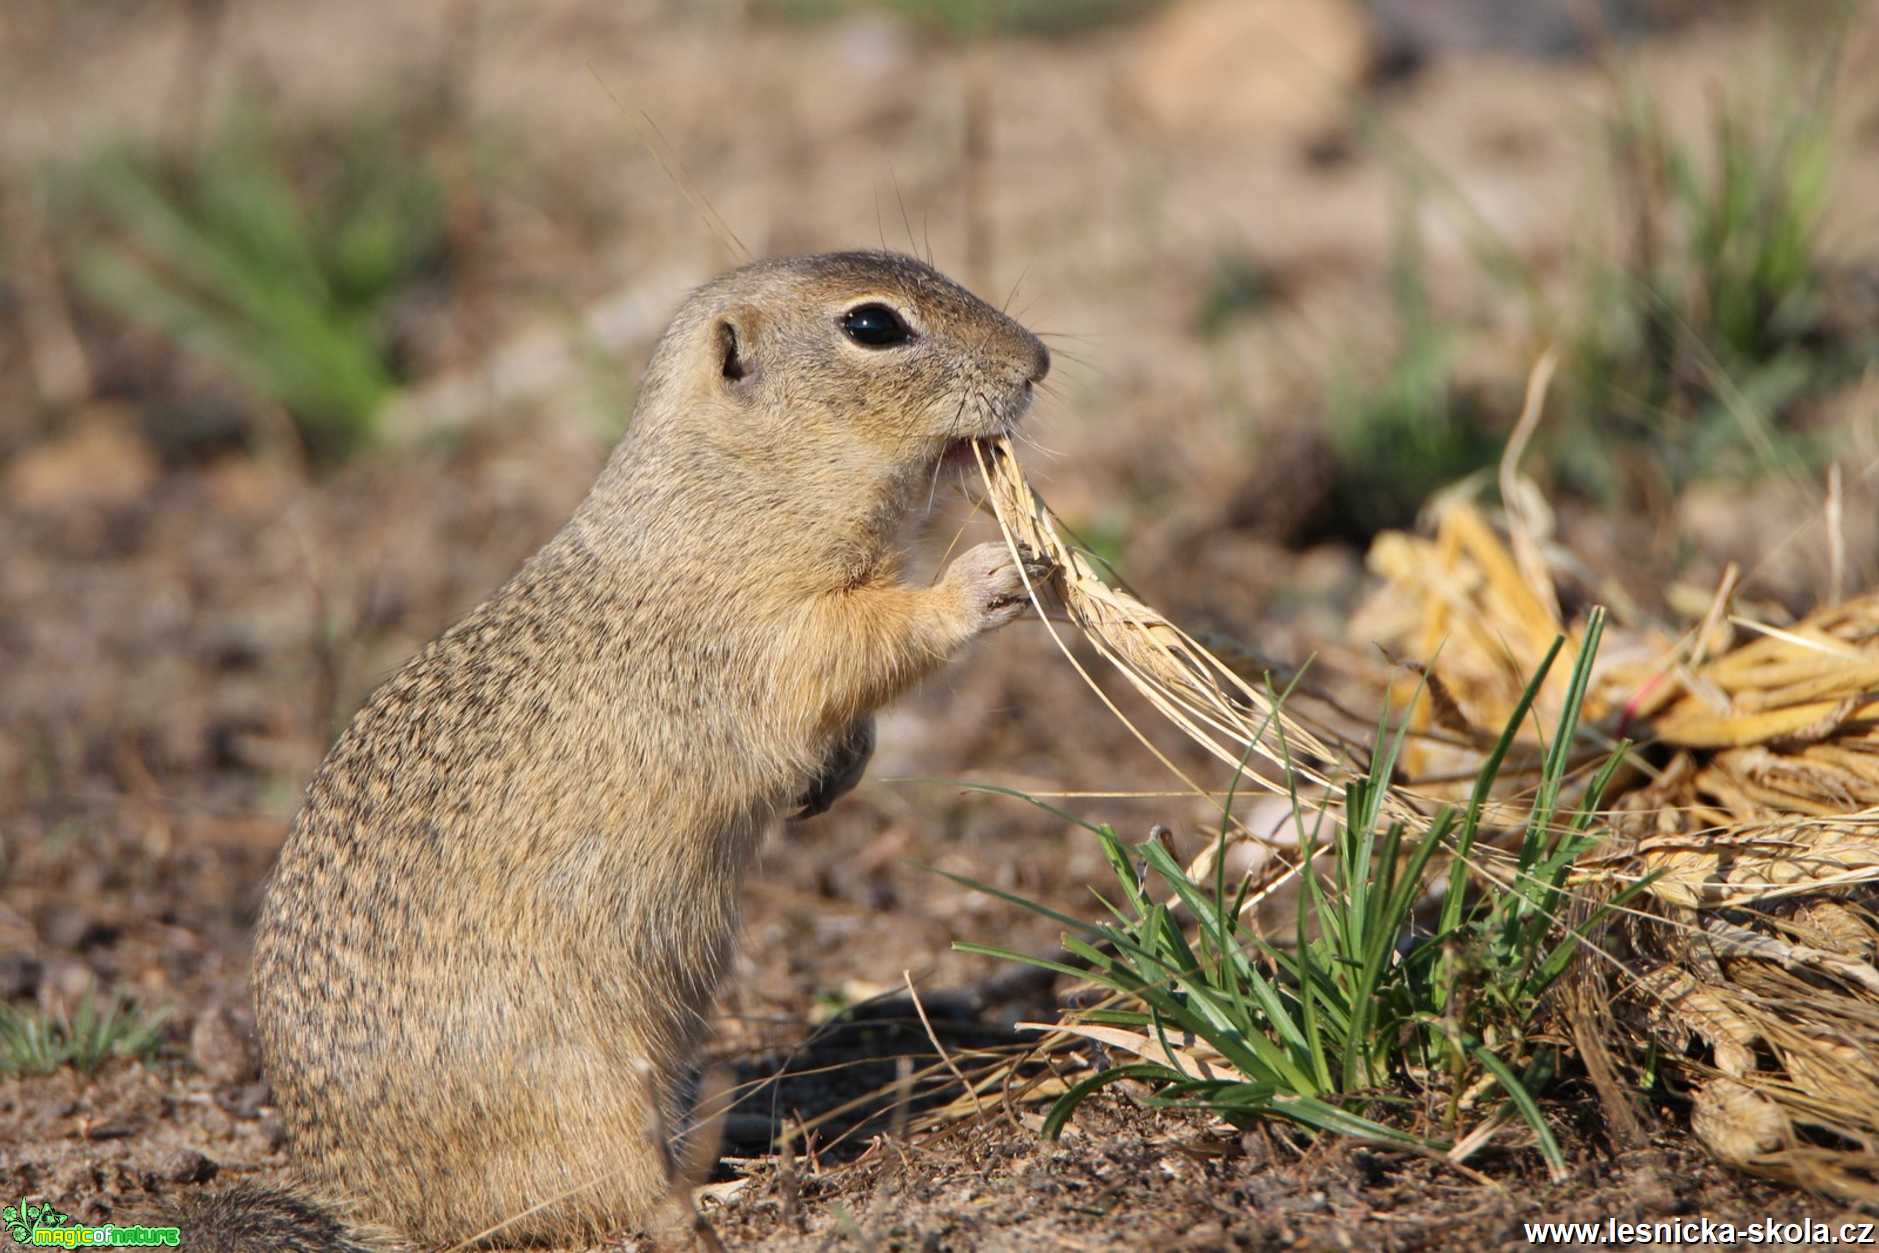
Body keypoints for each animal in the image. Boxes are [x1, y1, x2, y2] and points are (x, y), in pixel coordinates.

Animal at [181, 249, 1052, 1247]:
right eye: (873, 325)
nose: (1037, 361)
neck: (732, 481)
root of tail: (364, 1198)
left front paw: (845, 769)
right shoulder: (772, 629)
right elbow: (864, 641)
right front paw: (988, 573)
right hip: (585, 1087)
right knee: (609, 1198)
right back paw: (713, 1192)